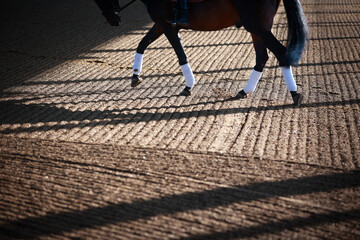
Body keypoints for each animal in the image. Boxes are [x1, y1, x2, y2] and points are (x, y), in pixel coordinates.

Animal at [94, 0, 308, 105]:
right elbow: (141, 44)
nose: (112, 20)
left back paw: (295, 94)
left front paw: (189, 85)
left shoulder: (167, 25)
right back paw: (244, 91)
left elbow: (180, 55)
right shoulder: (161, 24)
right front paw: (135, 75)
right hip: (256, 29)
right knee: (262, 57)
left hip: (257, 27)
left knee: (280, 53)